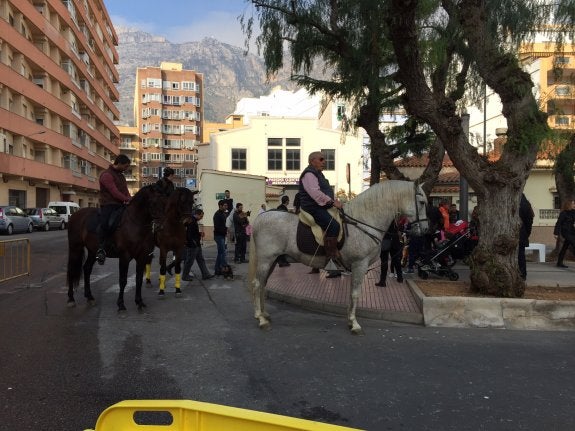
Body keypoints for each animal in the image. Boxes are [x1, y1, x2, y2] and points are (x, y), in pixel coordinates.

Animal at [250, 181, 430, 336]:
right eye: (421, 202)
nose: (426, 230)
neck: (363, 221)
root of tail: (259, 218)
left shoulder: (356, 267)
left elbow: (351, 293)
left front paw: (350, 320)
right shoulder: (360, 264)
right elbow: (356, 293)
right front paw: (355, 324)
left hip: (273, 261)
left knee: (263, 284)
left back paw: (264, 314)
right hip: (266, 260)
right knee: (258, 285)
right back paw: (261, 319)